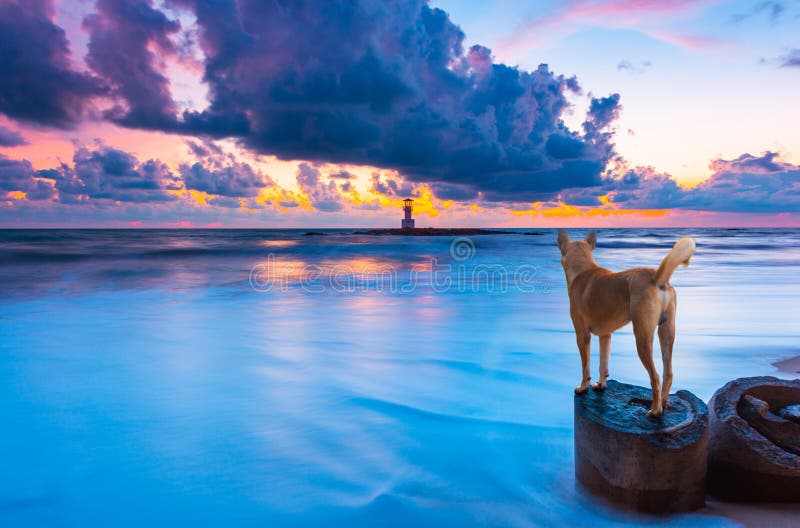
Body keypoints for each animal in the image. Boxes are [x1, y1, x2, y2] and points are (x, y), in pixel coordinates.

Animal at [556, 229, 692, 418]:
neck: (583, 269)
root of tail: (656, 277)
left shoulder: (582, 335)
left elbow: (586, 367)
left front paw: (583, 387)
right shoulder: (605, 335)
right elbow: (603, 364)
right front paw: (601, 385)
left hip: (642, 338)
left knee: (655, 376)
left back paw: (655, 410)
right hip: (666, 333)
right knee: (668, 373)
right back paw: (664, 404)